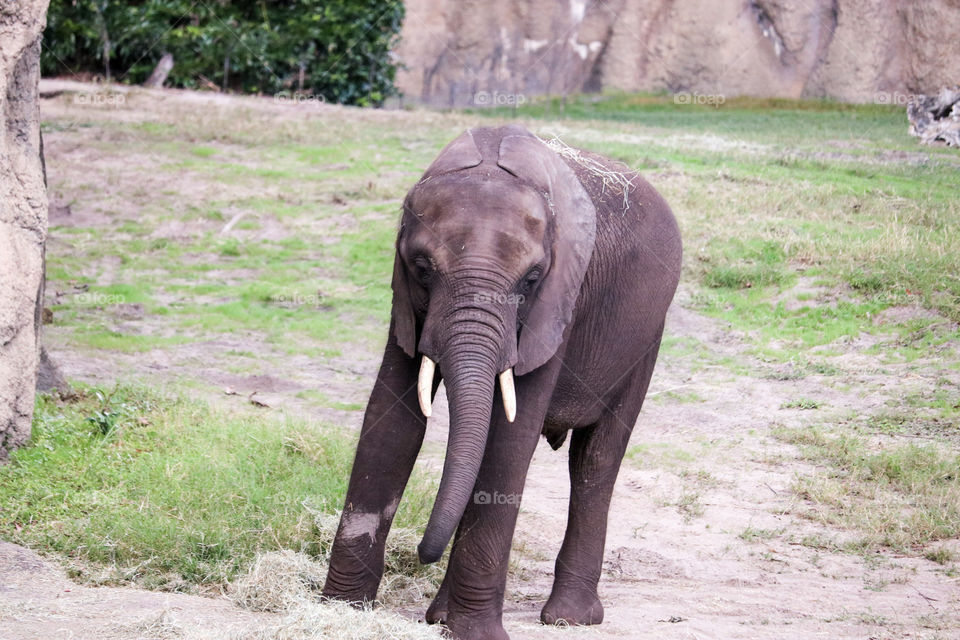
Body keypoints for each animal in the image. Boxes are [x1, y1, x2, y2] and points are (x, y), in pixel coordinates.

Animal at [322, 125, 684, 640]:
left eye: (531, 279)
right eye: (422, 268)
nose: (422, 554)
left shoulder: (559, 301)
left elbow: (508, 438)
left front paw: (476, 634)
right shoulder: (406, 306)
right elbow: (391, 421)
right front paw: (342, 611)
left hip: (647, 336)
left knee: (596, 459)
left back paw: (568, 618)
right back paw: (442, 617)